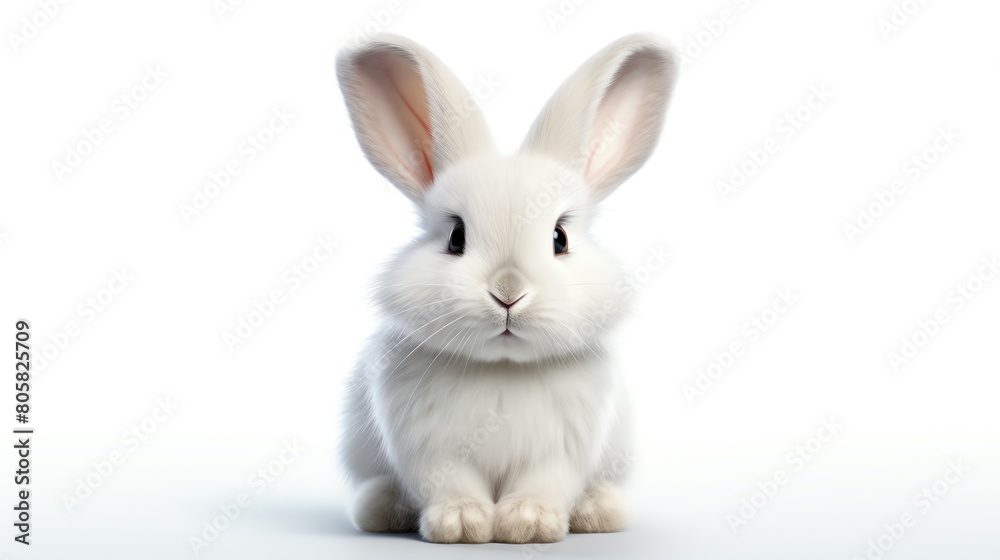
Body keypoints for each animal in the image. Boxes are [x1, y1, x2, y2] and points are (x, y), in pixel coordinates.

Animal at [335, 33, 678, 544]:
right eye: (456, 237)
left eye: (560, 238)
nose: (508, 293)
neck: (503, 369)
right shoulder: (432, 449)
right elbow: (452, 484)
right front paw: (460, 525)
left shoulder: (560, 450)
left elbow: (543, 483)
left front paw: (528, 524)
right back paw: (383, 508)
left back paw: (598, 511)